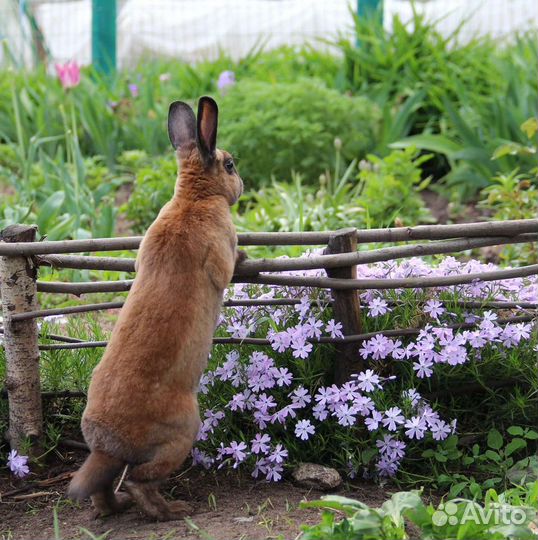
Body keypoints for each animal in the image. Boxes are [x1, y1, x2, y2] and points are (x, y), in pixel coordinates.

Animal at [68, 98, 243, 524]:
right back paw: (173, 509)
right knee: (141, 480)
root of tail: (108, 443)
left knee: (104, 489)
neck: (194, 198)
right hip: (182, 432)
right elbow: (227, 269)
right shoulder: (220, 254)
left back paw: (117, 507)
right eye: (230, 165)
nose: (242, 184)